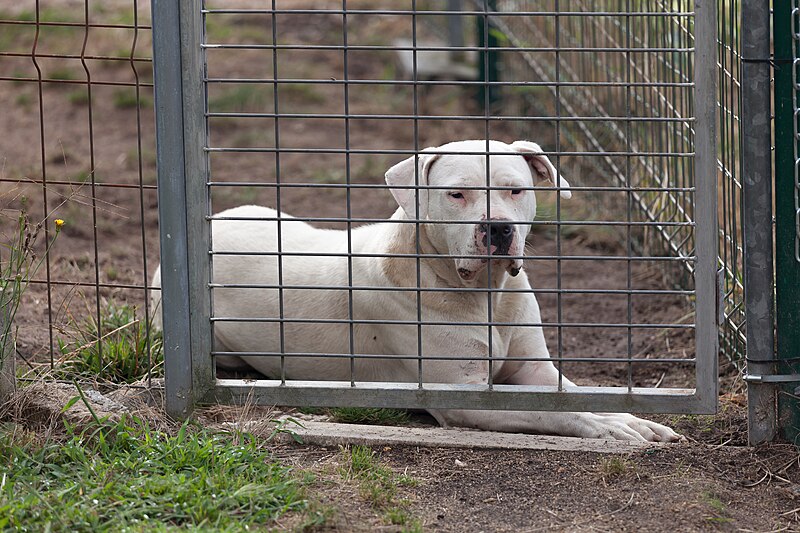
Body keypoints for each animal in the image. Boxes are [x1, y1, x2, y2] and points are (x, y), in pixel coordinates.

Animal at [152, 140, 680, 440]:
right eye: (456, 193)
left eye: (515, 189)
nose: (498, 229)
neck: (481, 292)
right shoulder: (465, 397)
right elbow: (556, 414)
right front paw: (609, 425)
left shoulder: (533, 368)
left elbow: (572, 395)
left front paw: (628, 415)